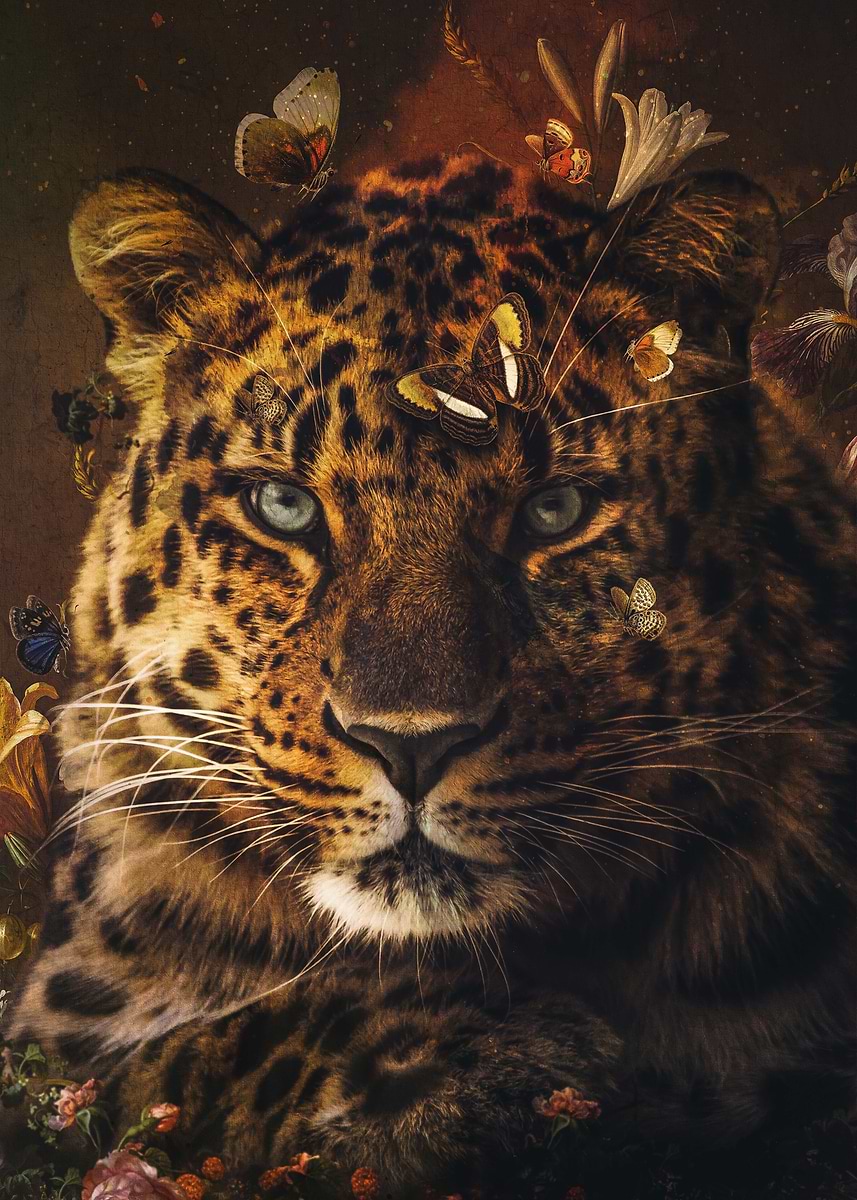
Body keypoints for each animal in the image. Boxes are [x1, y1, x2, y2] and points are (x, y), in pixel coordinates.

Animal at [3, 155, 855, 1187]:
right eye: (283, 507)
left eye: (554, 511)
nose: (410, 747)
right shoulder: (54, 1037)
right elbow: (165, 1065)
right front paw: (496, 1062)